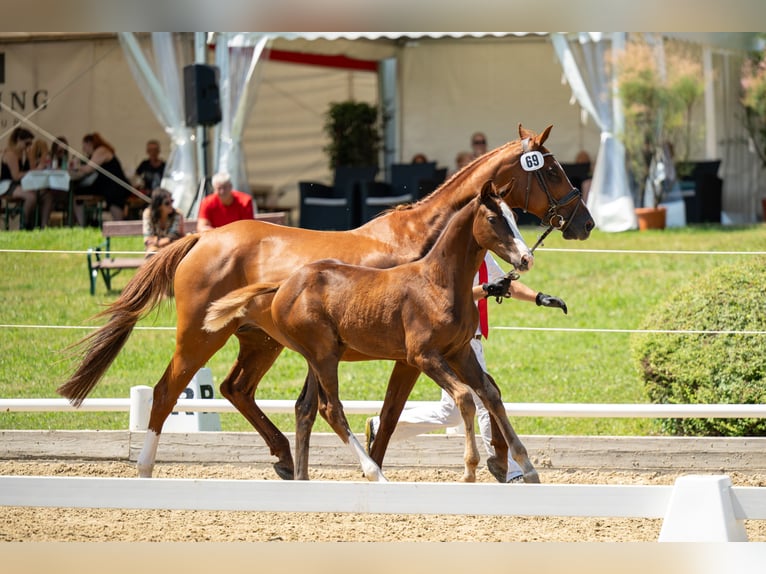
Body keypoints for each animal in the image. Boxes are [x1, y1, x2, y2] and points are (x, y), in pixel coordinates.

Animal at [204, 182, 540, 484]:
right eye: (494, 219)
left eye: (514, 215)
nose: (526, 259)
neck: (439, 283)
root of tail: (284, 284)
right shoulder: (422, 356)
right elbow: (465, 397)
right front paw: (469, 470)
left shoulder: (459, 351)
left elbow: (490, 394)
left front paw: (529, 469)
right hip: (324, 356)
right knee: (332, 409)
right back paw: (375, 473)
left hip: (319, 357)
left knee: (309, 408)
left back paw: (305, 475)